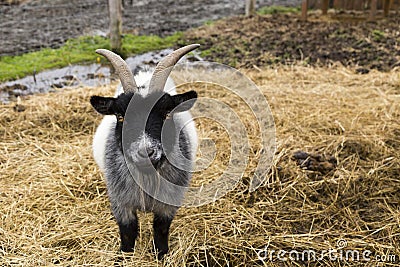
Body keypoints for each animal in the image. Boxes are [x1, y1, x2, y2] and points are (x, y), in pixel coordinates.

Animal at [89, 44, 198, 260]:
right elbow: (127, 232)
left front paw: (161, 255)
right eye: (120, 116)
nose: (145, 152)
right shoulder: (121, 203)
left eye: (167, 114)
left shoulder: (168, 204)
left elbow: (161, 230)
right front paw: (124, 256)